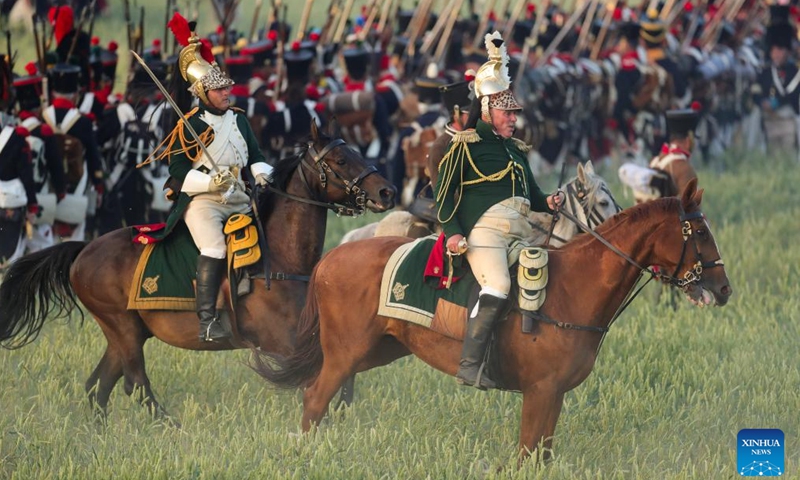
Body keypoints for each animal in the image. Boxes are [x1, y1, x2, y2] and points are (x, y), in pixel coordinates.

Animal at [0, 123, 396, 416]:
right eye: (341, 160)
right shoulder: (284, 342)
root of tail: (85, 250)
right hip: (122, 329)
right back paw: (170, 426)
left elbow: (344, 373)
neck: (279, 257)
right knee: (135, 384)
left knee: (99, 386)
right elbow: (325, 375)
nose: (387, 191)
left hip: (125, 333)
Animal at [255, 179, 732, 462]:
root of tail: (331, 257)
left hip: (374, 351)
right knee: (314, 400)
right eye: (699, 231)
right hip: (344, 355)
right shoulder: (539, 394)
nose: (724, 289)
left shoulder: (553, 396)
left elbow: (542, 454)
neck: (573, 287)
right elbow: (526, 453)